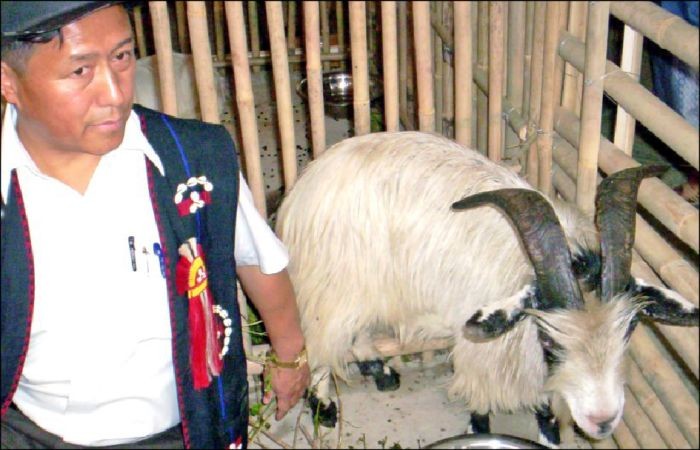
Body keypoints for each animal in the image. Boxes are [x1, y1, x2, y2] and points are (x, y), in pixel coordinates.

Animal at [275, 131, 698, 446]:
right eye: (550, 341)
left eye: (629, 331)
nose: (603, 422)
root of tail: (303, 186)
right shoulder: (486, 349)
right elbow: (480, 406)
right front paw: (477, 427)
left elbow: (547, 412)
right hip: (332, 287)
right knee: (319, 344)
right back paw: (325, 407)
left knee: (358, 330)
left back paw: (379, 369)